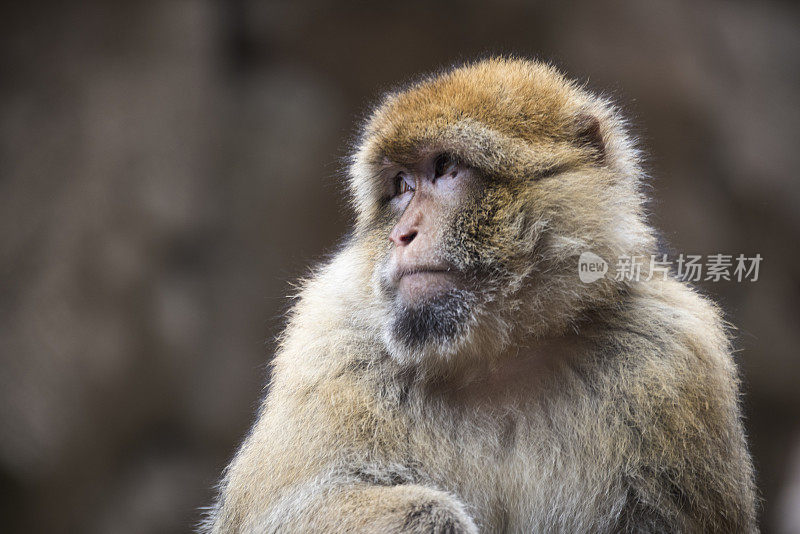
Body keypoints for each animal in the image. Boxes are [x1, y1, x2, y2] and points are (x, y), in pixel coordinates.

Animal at [200, 56, 756, 532]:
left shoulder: (674, 357)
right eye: (400, 185)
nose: (401, 234)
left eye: (446, 168)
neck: (498, 351)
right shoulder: (330, 344)